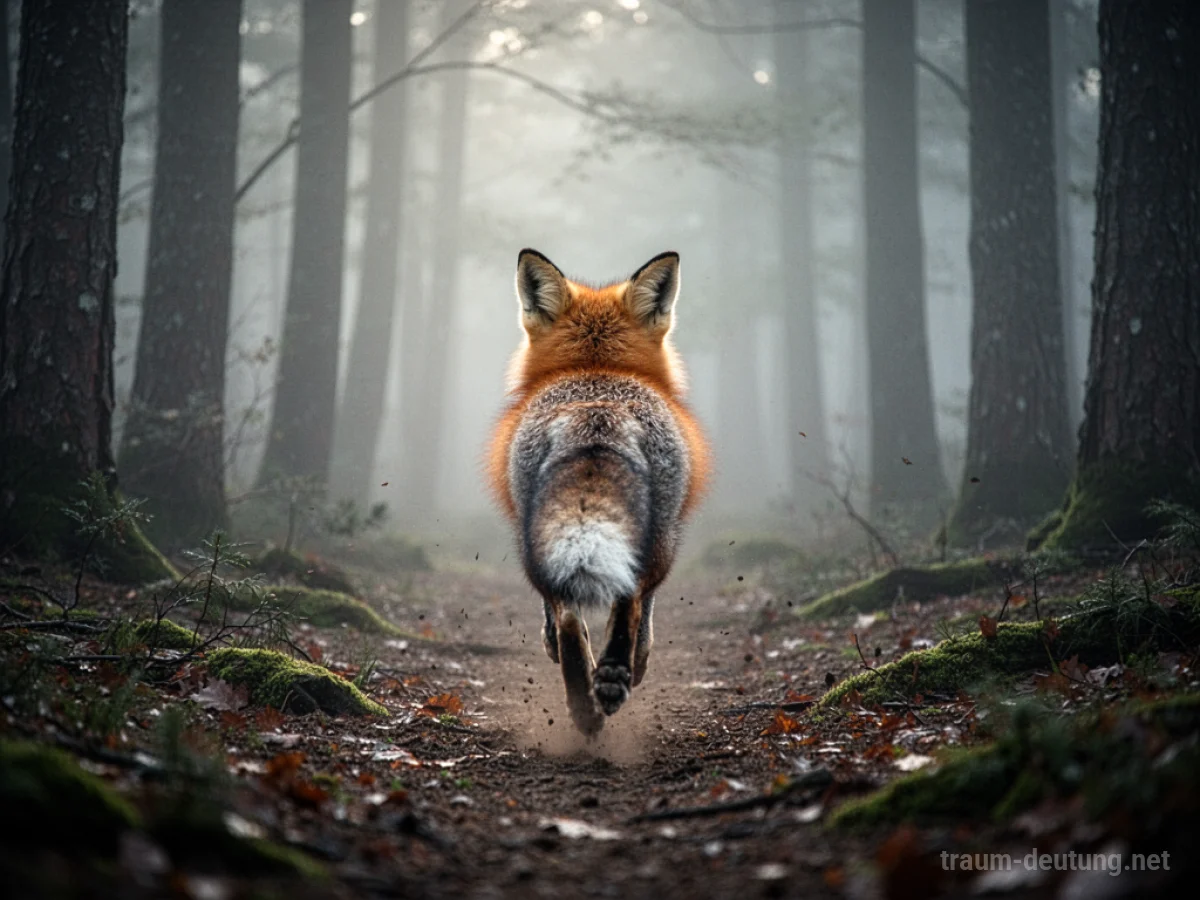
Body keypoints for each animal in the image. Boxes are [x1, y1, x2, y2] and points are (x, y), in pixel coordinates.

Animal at [488, 249, 710, 735]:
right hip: (661, 540)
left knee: (569, 615)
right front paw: (635, 664)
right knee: (627, 601)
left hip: (533, 541)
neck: (596, 369)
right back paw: (611, 680)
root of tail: (595, 413)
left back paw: (585, 704)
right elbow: (644, 618)